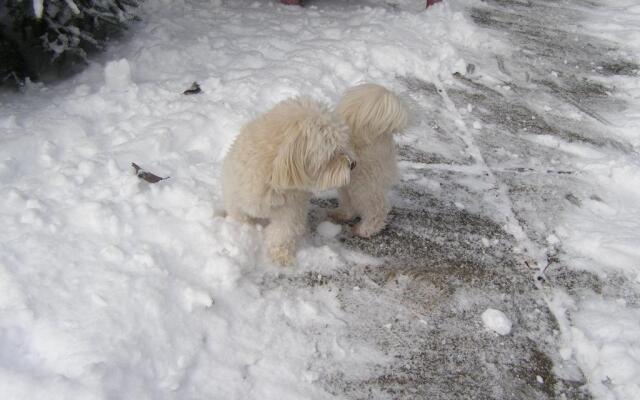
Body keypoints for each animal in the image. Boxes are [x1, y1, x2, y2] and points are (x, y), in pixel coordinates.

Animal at [222, 96, 356, 266]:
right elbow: (241, 218)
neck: (274, 175)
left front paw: (281, 256)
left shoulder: (290, 210)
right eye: (332, 154)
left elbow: (282, 232)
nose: (353, 164)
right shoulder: (237, 201)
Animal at [330, 82, 410, 236]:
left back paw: (365, 230)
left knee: (377, 207)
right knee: (349, 202)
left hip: (365, 179)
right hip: (350, 179)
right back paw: (341, 215)